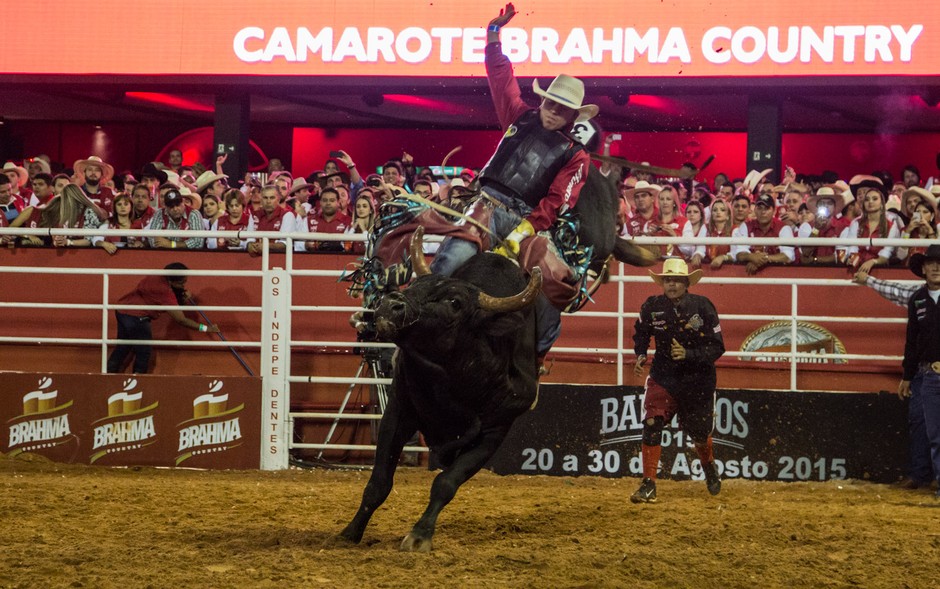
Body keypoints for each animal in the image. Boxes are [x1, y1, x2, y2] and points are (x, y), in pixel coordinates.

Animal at [338, 168, 652, 548]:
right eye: (416, 286)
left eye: (455, 303)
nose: (390, 306)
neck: (455, 378)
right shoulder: (399, 408)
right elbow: (379, 481)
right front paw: (351, 530)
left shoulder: (495, 431)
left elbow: (445, 483)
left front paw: (420, 535)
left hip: (599, 227)